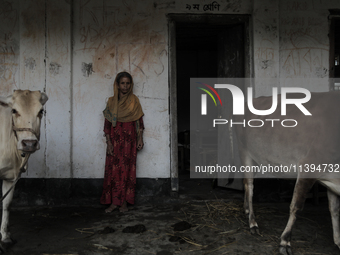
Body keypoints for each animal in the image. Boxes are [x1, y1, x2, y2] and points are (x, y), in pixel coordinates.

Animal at [0, 90, 47, 251]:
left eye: (41, 111)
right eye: (14, 110)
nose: (29, 143)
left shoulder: (10, 177)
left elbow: (6, 204)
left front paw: (5, 237)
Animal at [232, 91, 340, 255]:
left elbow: (334, 210)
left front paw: (338, 241)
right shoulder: (308, 166)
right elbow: (296, 207)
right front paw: (285, 241)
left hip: (257, 158)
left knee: (245, 183)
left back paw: (246, 210)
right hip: (244, 151)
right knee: (249, 186)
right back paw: (253, 223)